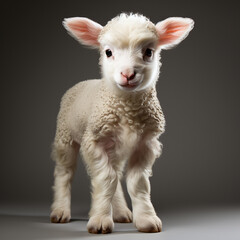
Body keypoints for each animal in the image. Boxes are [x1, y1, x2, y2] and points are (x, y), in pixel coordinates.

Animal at [49, 12, 194, 233]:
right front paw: (100, 221)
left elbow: (137, 183)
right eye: (108, 52)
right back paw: (60, 211)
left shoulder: (145, 144)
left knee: (116, 174)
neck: (128, 110)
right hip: (65, 136)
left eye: (149, 52)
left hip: (115, 148)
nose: (127, 74)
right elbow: (105, 179)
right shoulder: (95, 140)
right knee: (65, 172)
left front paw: (146, 219)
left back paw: (120, 212)